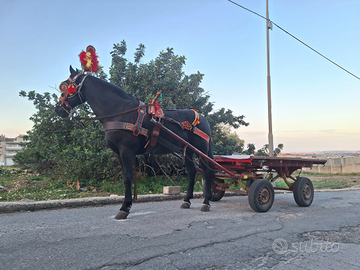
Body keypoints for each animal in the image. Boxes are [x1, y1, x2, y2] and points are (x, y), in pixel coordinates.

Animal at [56, 66, 214, 219]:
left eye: (66, 87)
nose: (58, 109)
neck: (120, 111)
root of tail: (202, 118)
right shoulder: (119, 152)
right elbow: (127, 177)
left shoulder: (126, 150)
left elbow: (127, 178)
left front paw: (124, 208)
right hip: (187, 150)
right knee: (192, 172)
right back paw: (187, 200)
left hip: (201, 149)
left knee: (207, 172)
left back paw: (206, 202)